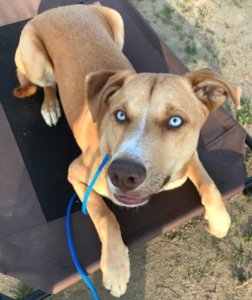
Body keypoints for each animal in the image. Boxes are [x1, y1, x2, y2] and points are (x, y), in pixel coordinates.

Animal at [12, 3, 241, 296]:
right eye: (119, 115)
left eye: (175, 121)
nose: (122, 174)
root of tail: (61, 7)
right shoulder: (76, 173)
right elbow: (104, 214)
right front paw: (116, 267)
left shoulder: (189, 157)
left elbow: (209, 184)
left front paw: (219, 219)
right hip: (36, 61)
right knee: (47, 84)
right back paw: (51, 106)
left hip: (117, 23)